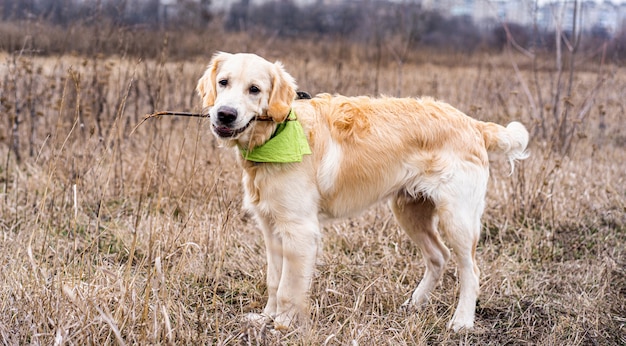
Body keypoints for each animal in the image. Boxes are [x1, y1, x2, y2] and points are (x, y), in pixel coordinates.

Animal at [195, 52, 528, 332]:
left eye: (254, 89)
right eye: (223, 82)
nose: (225, 114)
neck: (278, 133)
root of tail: (473, 123)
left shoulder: (299, 230)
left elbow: (289, 288)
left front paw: (282, 325)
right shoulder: (271, 227)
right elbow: (274, 281)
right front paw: (266, 317)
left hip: (457, 219)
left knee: (470, 271)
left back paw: (461, 321)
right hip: (410, 211)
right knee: (438, 256)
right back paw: (413, 304)